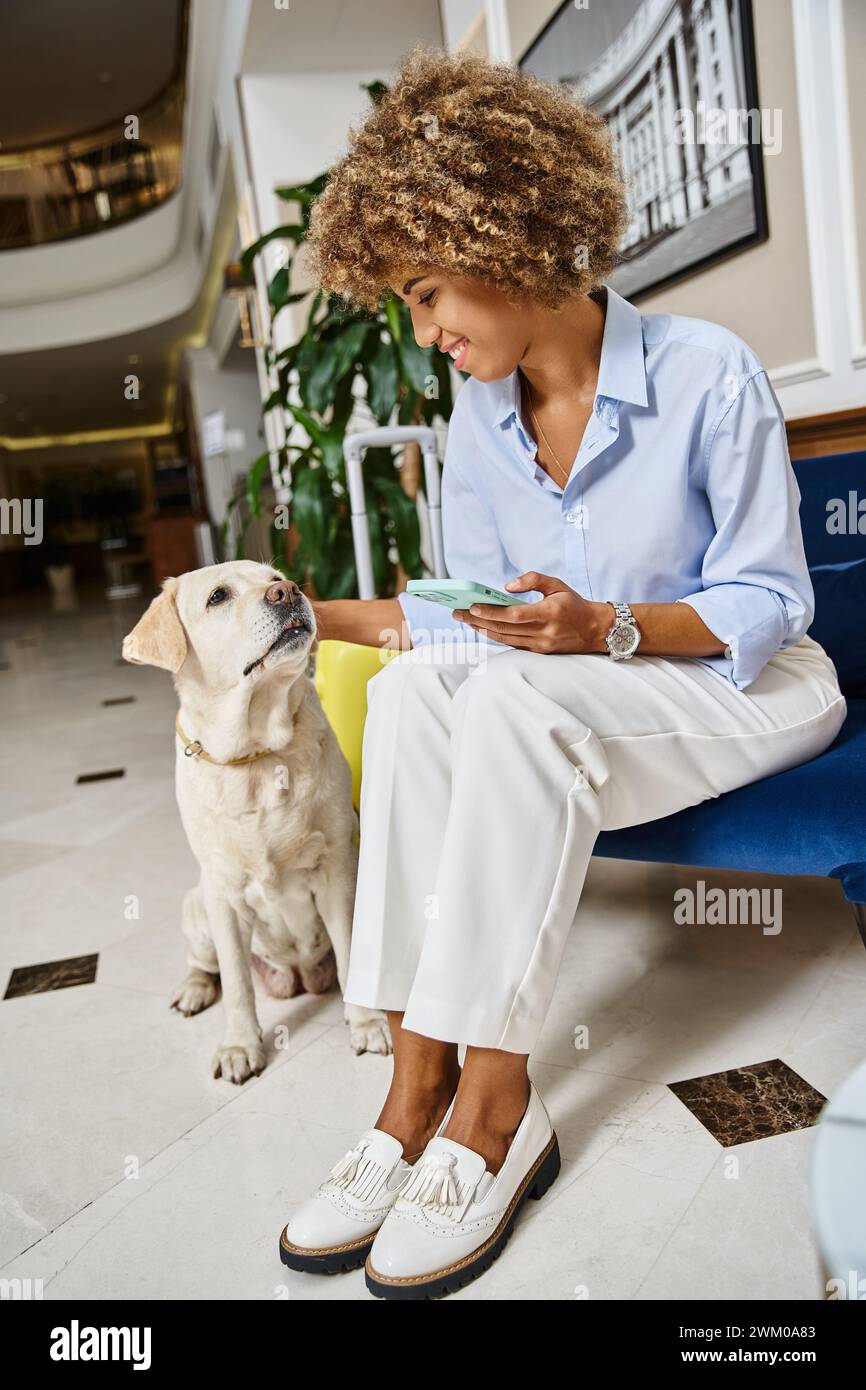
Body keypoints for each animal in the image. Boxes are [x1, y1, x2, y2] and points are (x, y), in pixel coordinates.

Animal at [122, 558, 391, 1078]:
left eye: (275, 578)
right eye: (218, 596)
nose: (287, 593)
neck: (257, 753)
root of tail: (297, 978)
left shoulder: (336, 873)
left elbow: (350, 952)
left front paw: (367, 1024)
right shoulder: (222, 895)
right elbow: (237, 984)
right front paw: (240, 1046)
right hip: (196, 905)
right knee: (206, 965)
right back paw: (193, 990)